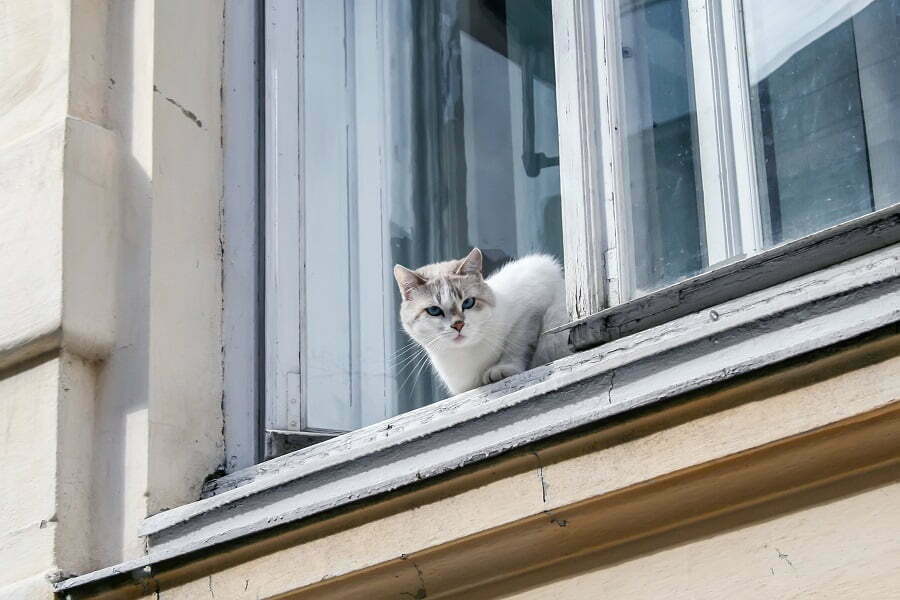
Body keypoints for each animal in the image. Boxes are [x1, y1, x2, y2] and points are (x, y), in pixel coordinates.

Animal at [394, 246, 568, 396]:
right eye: (434, 311)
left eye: (468, 302)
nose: (458, 324)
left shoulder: (533, 302)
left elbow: (517, 346)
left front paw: (502, 368)